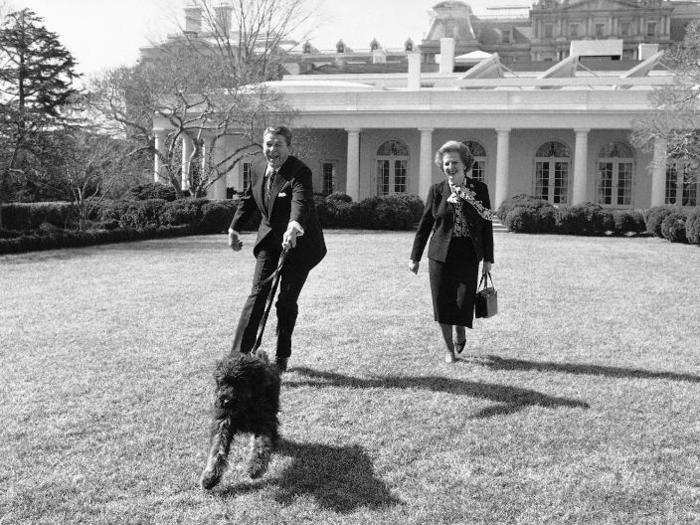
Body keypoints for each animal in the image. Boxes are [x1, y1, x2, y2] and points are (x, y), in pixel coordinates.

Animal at [198, 350, 280, 490]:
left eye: (240, 381)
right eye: (223, 382)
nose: (225, 401)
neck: (245, 407)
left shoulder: (264, 421)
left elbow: (261, 444)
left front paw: (255, 467)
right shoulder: (223, 421)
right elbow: (218, 448)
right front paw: (210, 477)